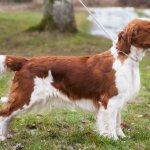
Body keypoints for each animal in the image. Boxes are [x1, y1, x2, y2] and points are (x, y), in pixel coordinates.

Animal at [0, 17, 149, 141]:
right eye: (148, 27)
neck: (125, 57)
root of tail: (25, 62)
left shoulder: (118, 100)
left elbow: (117, 121)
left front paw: (122, 137)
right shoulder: (110, 99)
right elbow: (110, 122)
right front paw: (112, 139)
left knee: (8, 116)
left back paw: (6, 136)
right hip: (26, 96)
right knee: (4, 114)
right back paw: (2, 138)